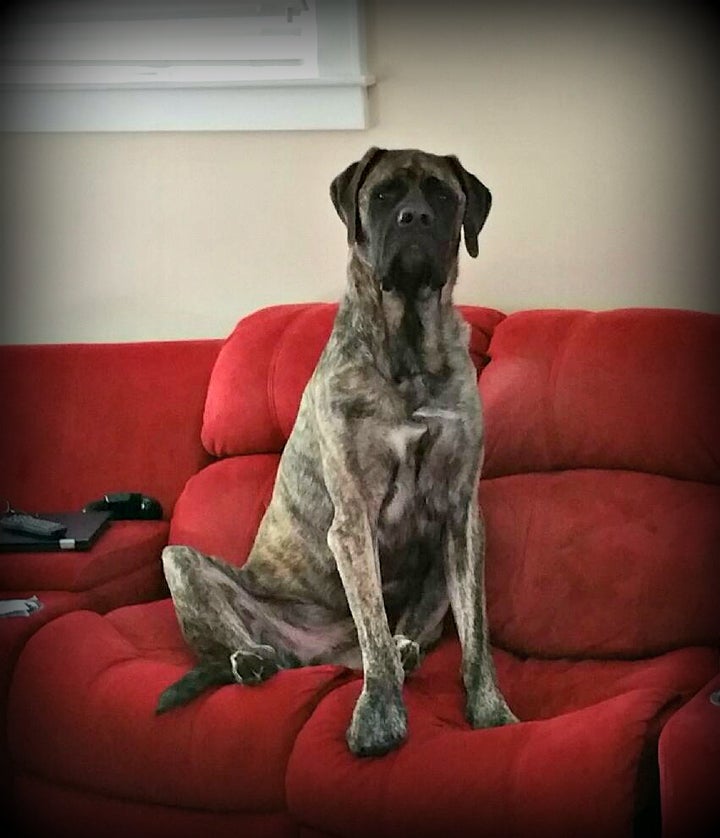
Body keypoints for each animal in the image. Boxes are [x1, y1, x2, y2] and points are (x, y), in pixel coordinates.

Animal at [158, 148, 516, 756]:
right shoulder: (353, 520)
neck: (407, 354)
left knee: (407, 632)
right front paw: (380, 716)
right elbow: (373, 626)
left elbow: (476, 635)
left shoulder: (462, 515)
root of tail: (315, 654)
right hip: (180, 560)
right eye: (383, 195)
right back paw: (252, 660)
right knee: (245, 645)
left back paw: (406, 649)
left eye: (443, 195)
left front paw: (490, 710)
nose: (415, 219)